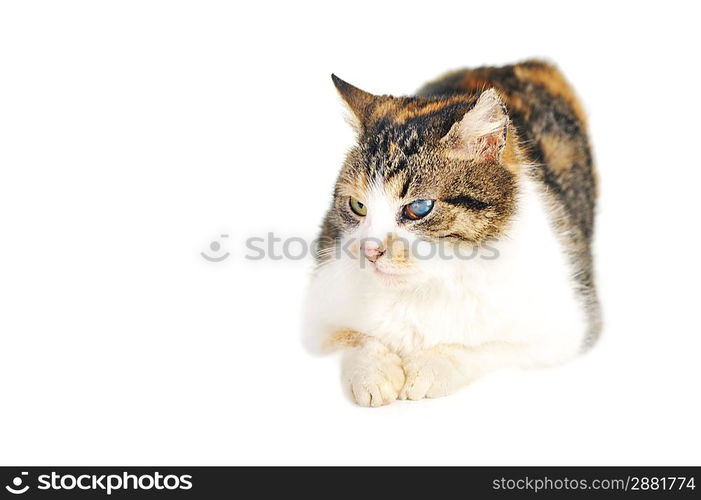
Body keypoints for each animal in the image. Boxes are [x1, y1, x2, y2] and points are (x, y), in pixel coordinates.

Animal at [304, 60, 600, 408]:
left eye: (419, 207)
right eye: (358, 205)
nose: (370, 251)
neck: (424, 287)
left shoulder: (565, 326)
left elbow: (486, 348)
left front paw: (430, 367)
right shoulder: (317, 311)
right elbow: (348, 337)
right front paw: (374, 372)